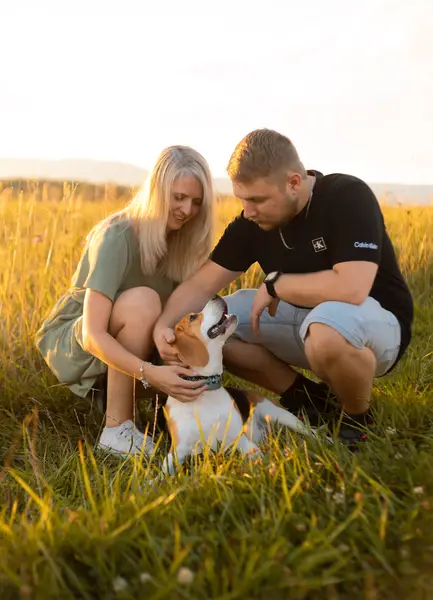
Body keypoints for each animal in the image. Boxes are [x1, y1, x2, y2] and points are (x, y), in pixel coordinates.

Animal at [157, 292, 316, 476]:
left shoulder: (239, 440)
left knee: (312, 432)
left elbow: (256, 457)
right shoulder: (177, 451)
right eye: (192, 317)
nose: (216, 296)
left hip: (280, 415)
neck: (206, 391)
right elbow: (163, 473)